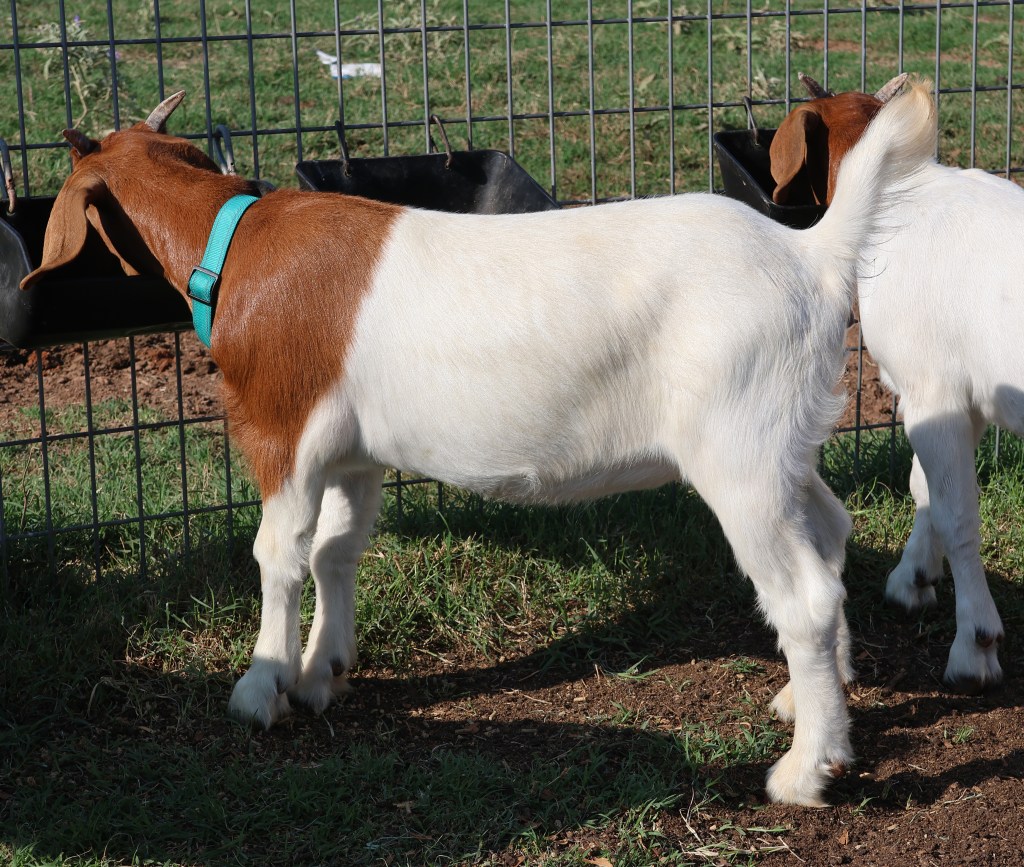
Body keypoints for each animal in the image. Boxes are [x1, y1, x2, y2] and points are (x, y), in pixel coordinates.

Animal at [22, 87, 935, 806]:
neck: (234, 243)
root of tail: (809, 253)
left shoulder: (281, 429)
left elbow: (279, 554)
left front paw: (259, 688)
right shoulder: (353, 452)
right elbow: (335, 551)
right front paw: (322, 673)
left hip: (739, 450)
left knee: (803, 594)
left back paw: (807, 770)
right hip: (786, 443)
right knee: (831, 535)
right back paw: (809, 698)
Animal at [771, 74, 1015, 693]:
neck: (901, 190)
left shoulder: (932, 387)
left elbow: (958, 511)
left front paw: (975, 645)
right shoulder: (958, 395)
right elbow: (926, 485)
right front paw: (915, 577)